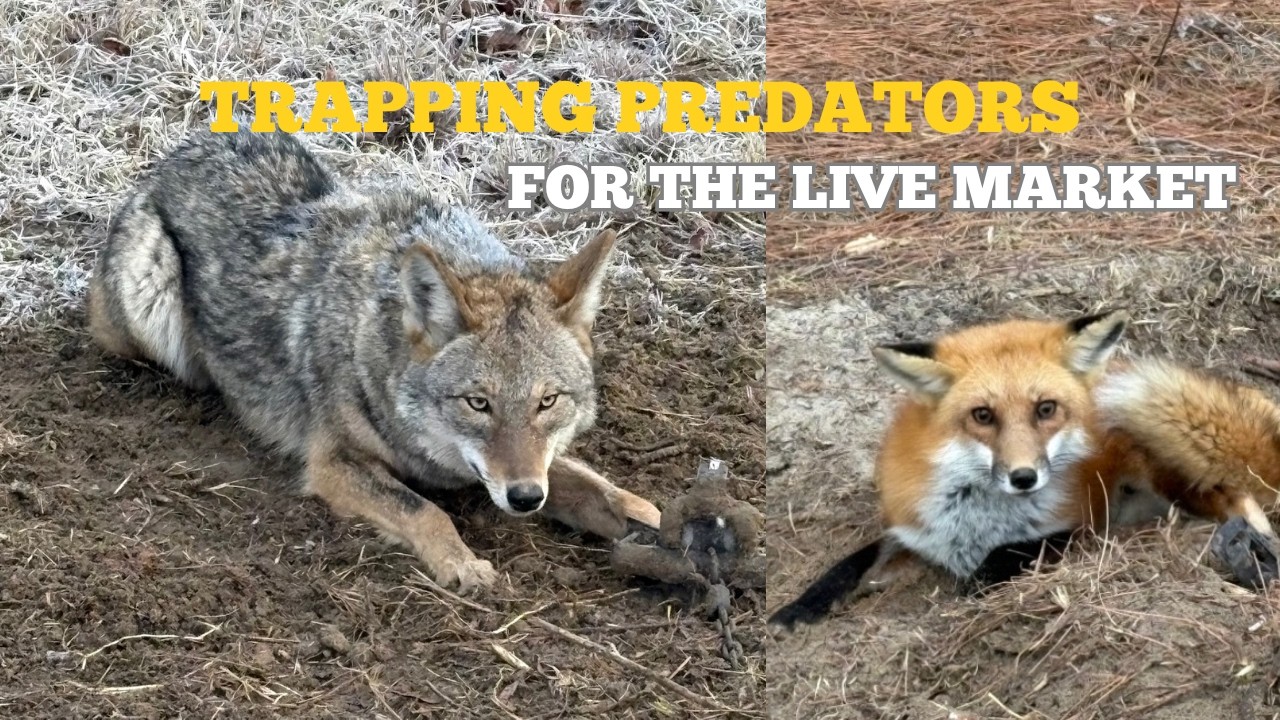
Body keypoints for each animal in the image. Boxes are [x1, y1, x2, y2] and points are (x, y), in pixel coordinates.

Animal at [88, 130, 662, 594]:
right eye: (478, 404)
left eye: (547, 402)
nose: (524, 500)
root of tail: (187, 148)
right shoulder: (334, 465)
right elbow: (427, 511)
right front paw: (462, 564)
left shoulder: (520, 468)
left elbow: (590, 482)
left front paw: (651, 519)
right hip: (150, 302)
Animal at [770, 311, 1280, 628]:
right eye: (982, 416)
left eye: (1045, 409)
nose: (1023, 477)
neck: (974, 517)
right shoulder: (916, 532)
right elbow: (848, 566)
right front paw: (799, 610)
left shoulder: (1074, 527)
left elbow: (1008, 554)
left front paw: (974, 586)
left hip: (1166, 453)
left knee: (1240, 497)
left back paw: (1251, 555)